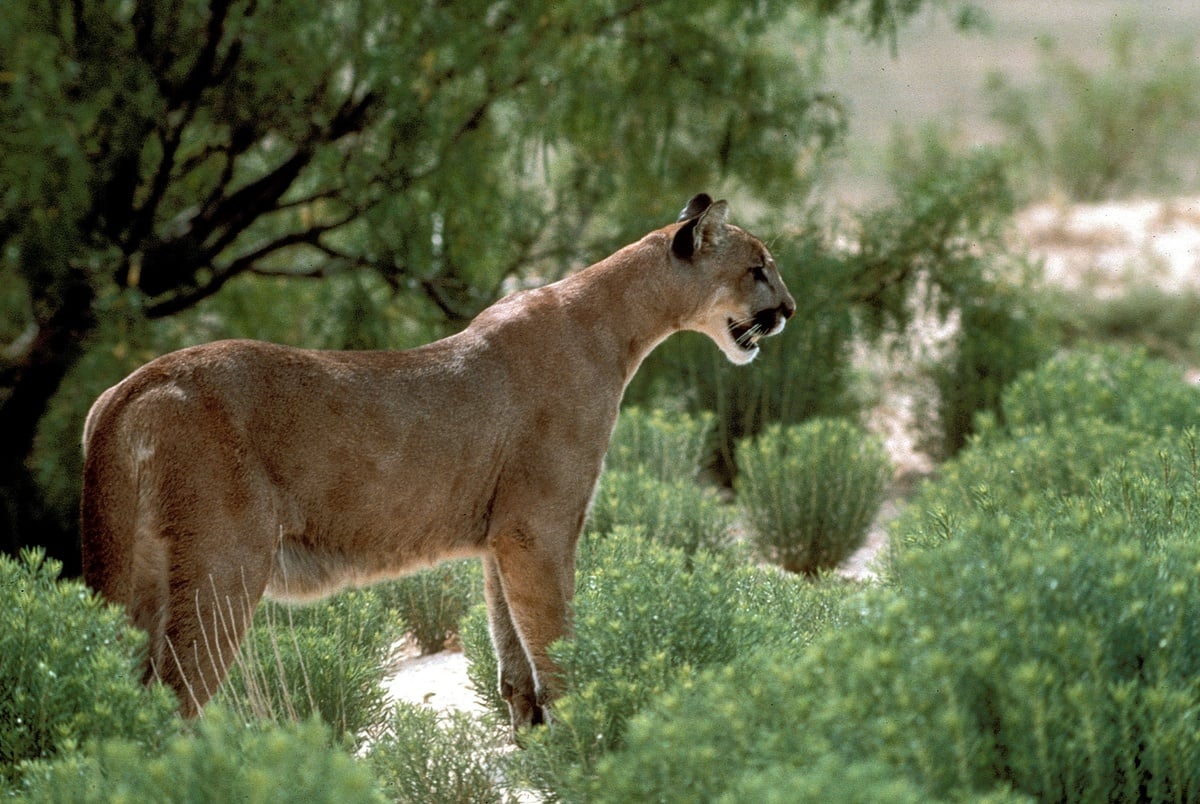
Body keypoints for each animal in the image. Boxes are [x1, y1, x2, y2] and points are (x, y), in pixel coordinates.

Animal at [80, 193, 795, 732]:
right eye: (759, 267)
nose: (788, 310)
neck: (621, 325)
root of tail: (127, 387)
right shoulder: (539, 528)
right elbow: (555, 642)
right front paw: (587, 734)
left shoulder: (504, 535)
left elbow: (512, 644)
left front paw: (534, 740)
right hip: (222, 573)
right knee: (168, 700)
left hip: (139, 579)